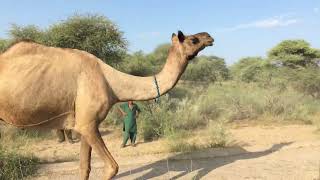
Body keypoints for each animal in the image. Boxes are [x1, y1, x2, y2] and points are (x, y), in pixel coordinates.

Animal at [0, 31, 215, 179]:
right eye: (193, 39)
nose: (209, 37)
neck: (110, 82)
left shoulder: (85, 124)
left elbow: (84, 167)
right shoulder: (87, 124)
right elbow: (112, 167)